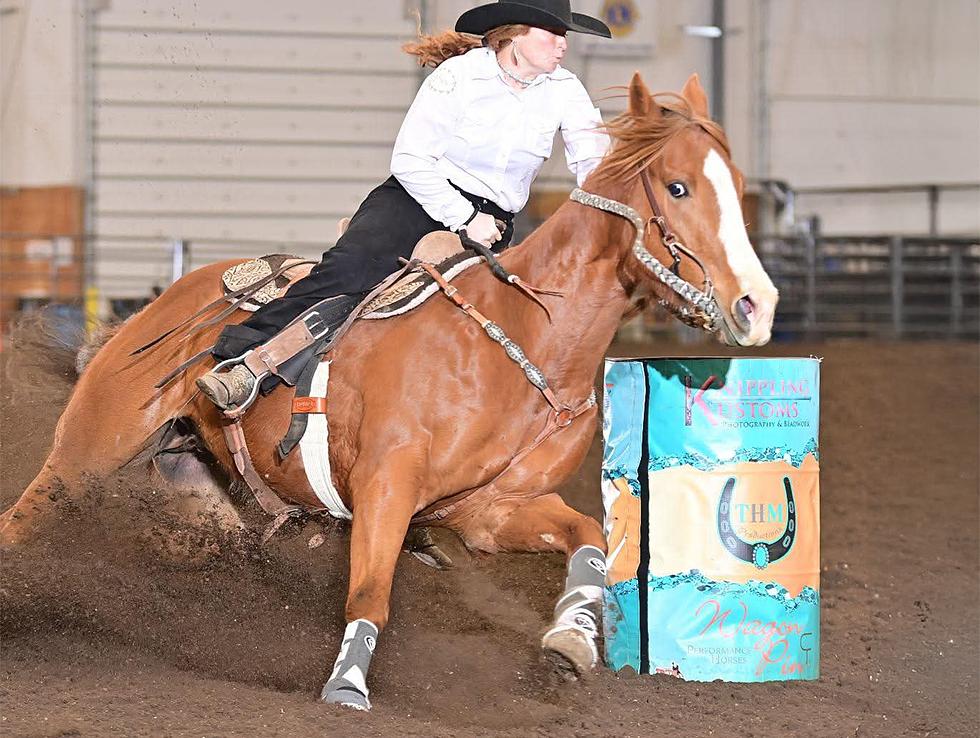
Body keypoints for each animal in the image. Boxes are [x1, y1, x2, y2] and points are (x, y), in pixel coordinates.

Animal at [0, 73, 778, 710]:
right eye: (677, 187)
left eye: (739, 185)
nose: (755, 304)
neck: (526, 337)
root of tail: (154, 310)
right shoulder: (386, 485)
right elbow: (371, 590)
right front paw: (346, 687)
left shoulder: (490, 511)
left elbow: (588, 537)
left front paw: (572, 643)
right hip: (88, 450)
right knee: (23, 518)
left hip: (203, 491)